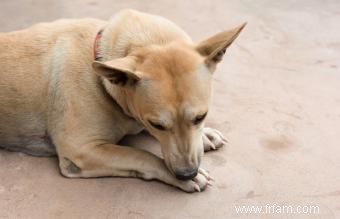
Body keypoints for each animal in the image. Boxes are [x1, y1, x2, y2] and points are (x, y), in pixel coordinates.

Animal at [0, 9, 246, 192]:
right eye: (157, 124)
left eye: (201, 116)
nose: (187, 173)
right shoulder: (81, 150)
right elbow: (140, 155)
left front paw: (205, 134)